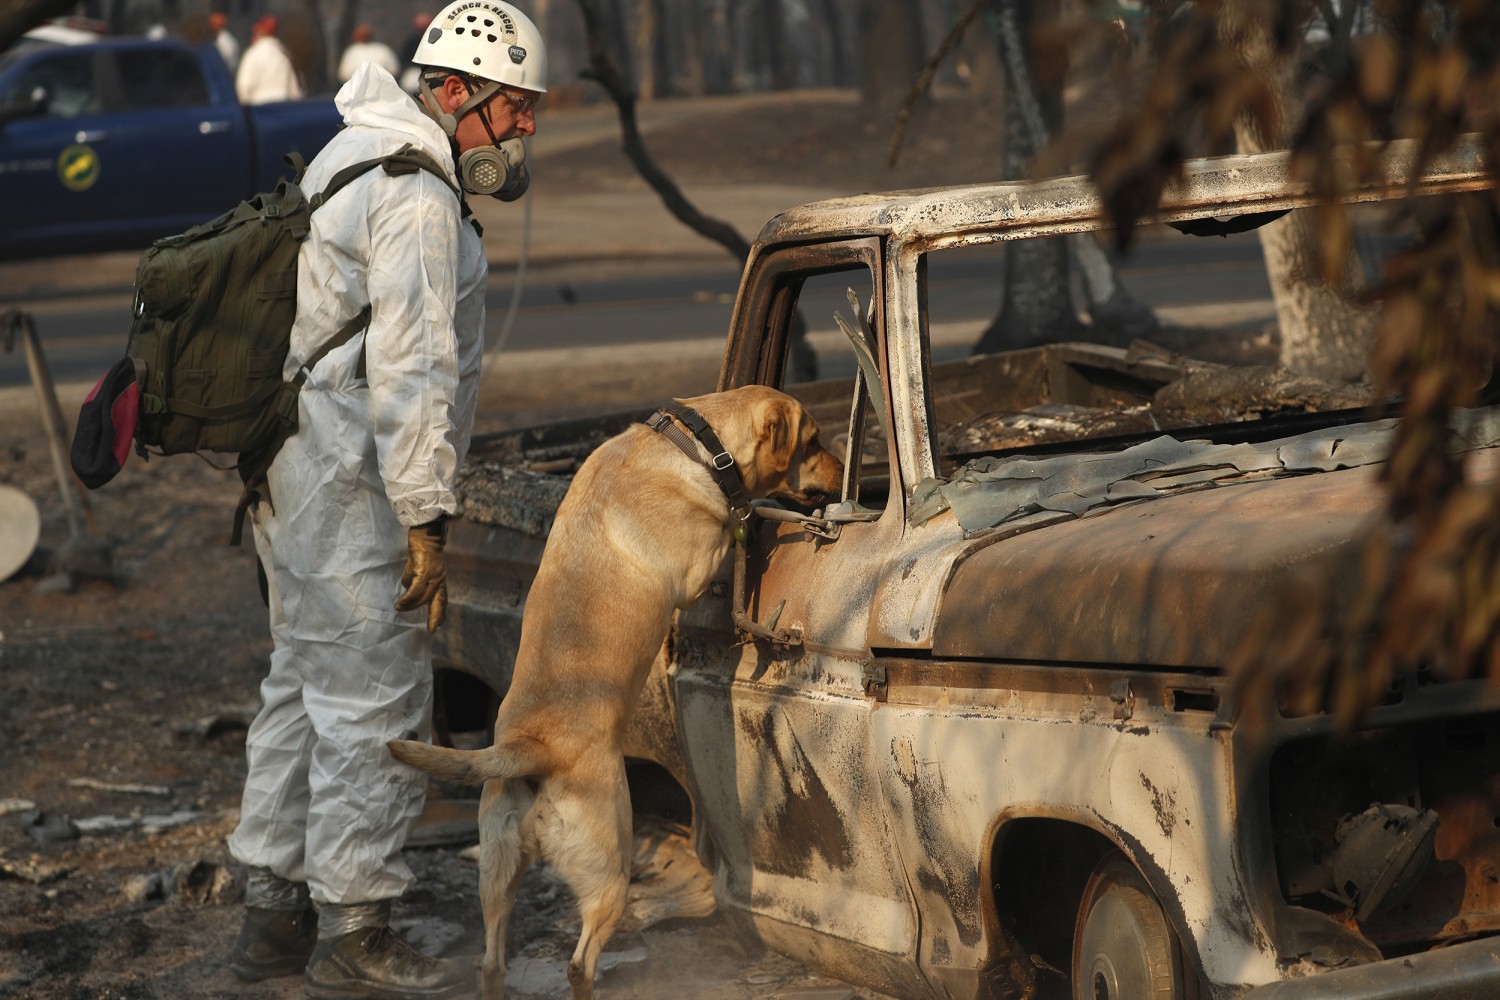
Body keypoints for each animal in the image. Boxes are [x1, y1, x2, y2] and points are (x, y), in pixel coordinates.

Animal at [387, 386, 846, 1000]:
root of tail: (530, 749)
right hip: (610, 868)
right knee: (579, 961)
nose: (844, 476)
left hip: (497, 872)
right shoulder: (698, 569)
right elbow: (739, 520)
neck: (692, 443)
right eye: (813, 441)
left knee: (491, 962)